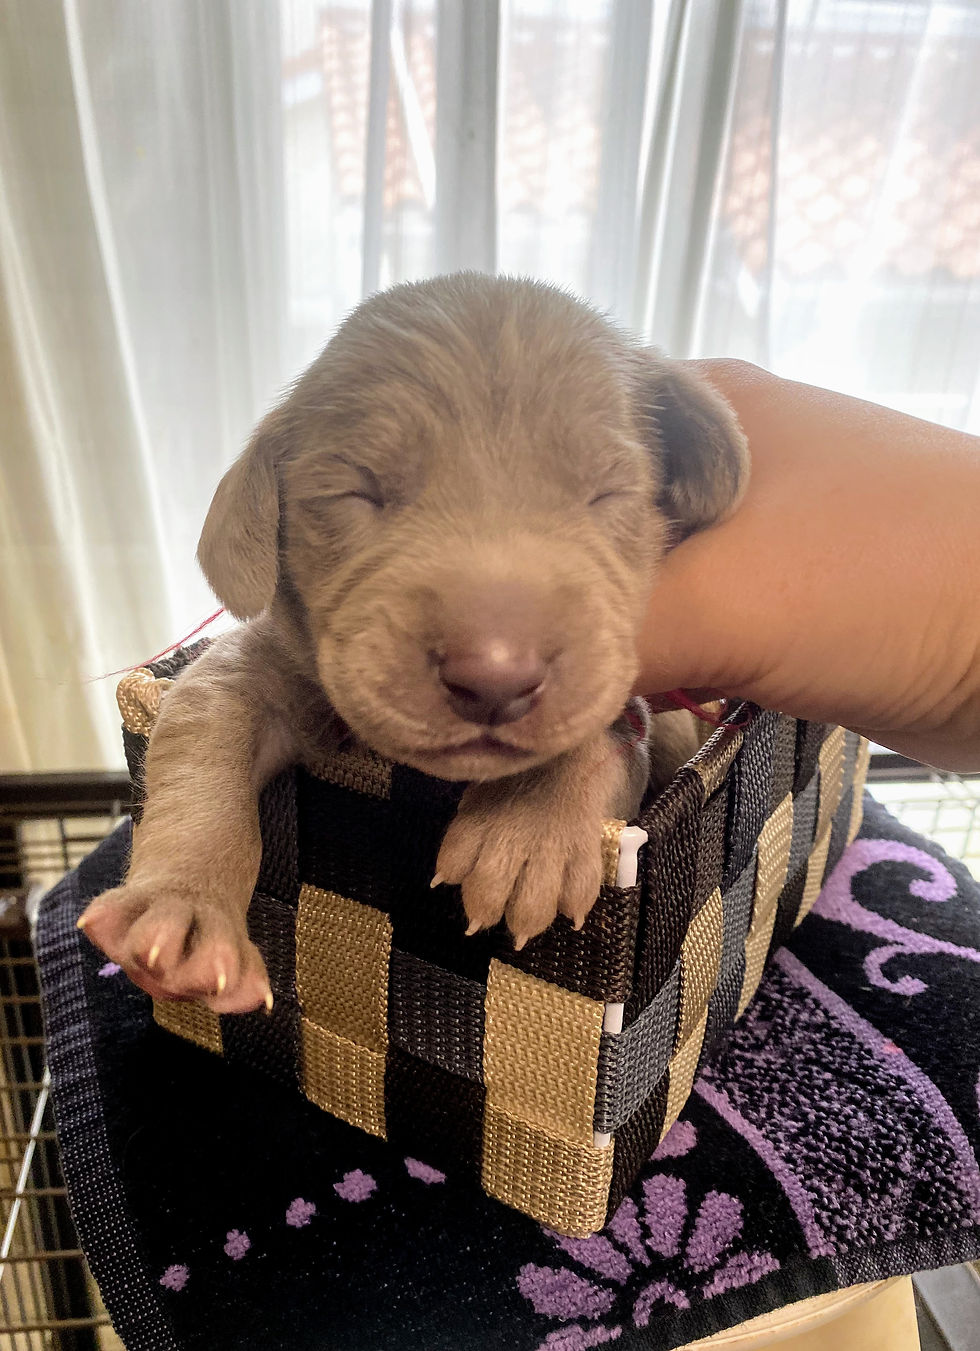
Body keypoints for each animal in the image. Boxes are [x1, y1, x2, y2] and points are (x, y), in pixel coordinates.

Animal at [78, 273, 748, 1014]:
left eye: (609, 494)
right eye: (357, 492)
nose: (495, 675)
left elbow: (610, 722)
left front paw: (530, 828)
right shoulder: (255, 666)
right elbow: (204, 749)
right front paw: (182, 915)